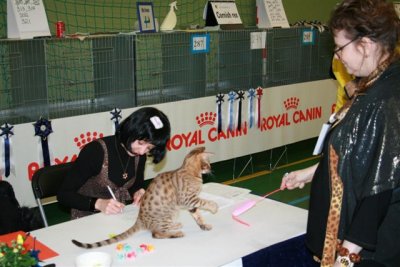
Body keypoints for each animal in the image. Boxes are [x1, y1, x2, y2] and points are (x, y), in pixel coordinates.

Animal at [71, 147, 216, 249]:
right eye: (209, 164)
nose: (211, 169)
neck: (190, 172)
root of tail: (139, 219)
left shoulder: (191, 204)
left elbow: (198, 216)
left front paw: (204, 226)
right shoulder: (188, 199)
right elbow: (204, 202)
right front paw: (213, 207)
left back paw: (175, 225)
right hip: (166, 215)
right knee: (156, 234)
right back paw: (176, 233)